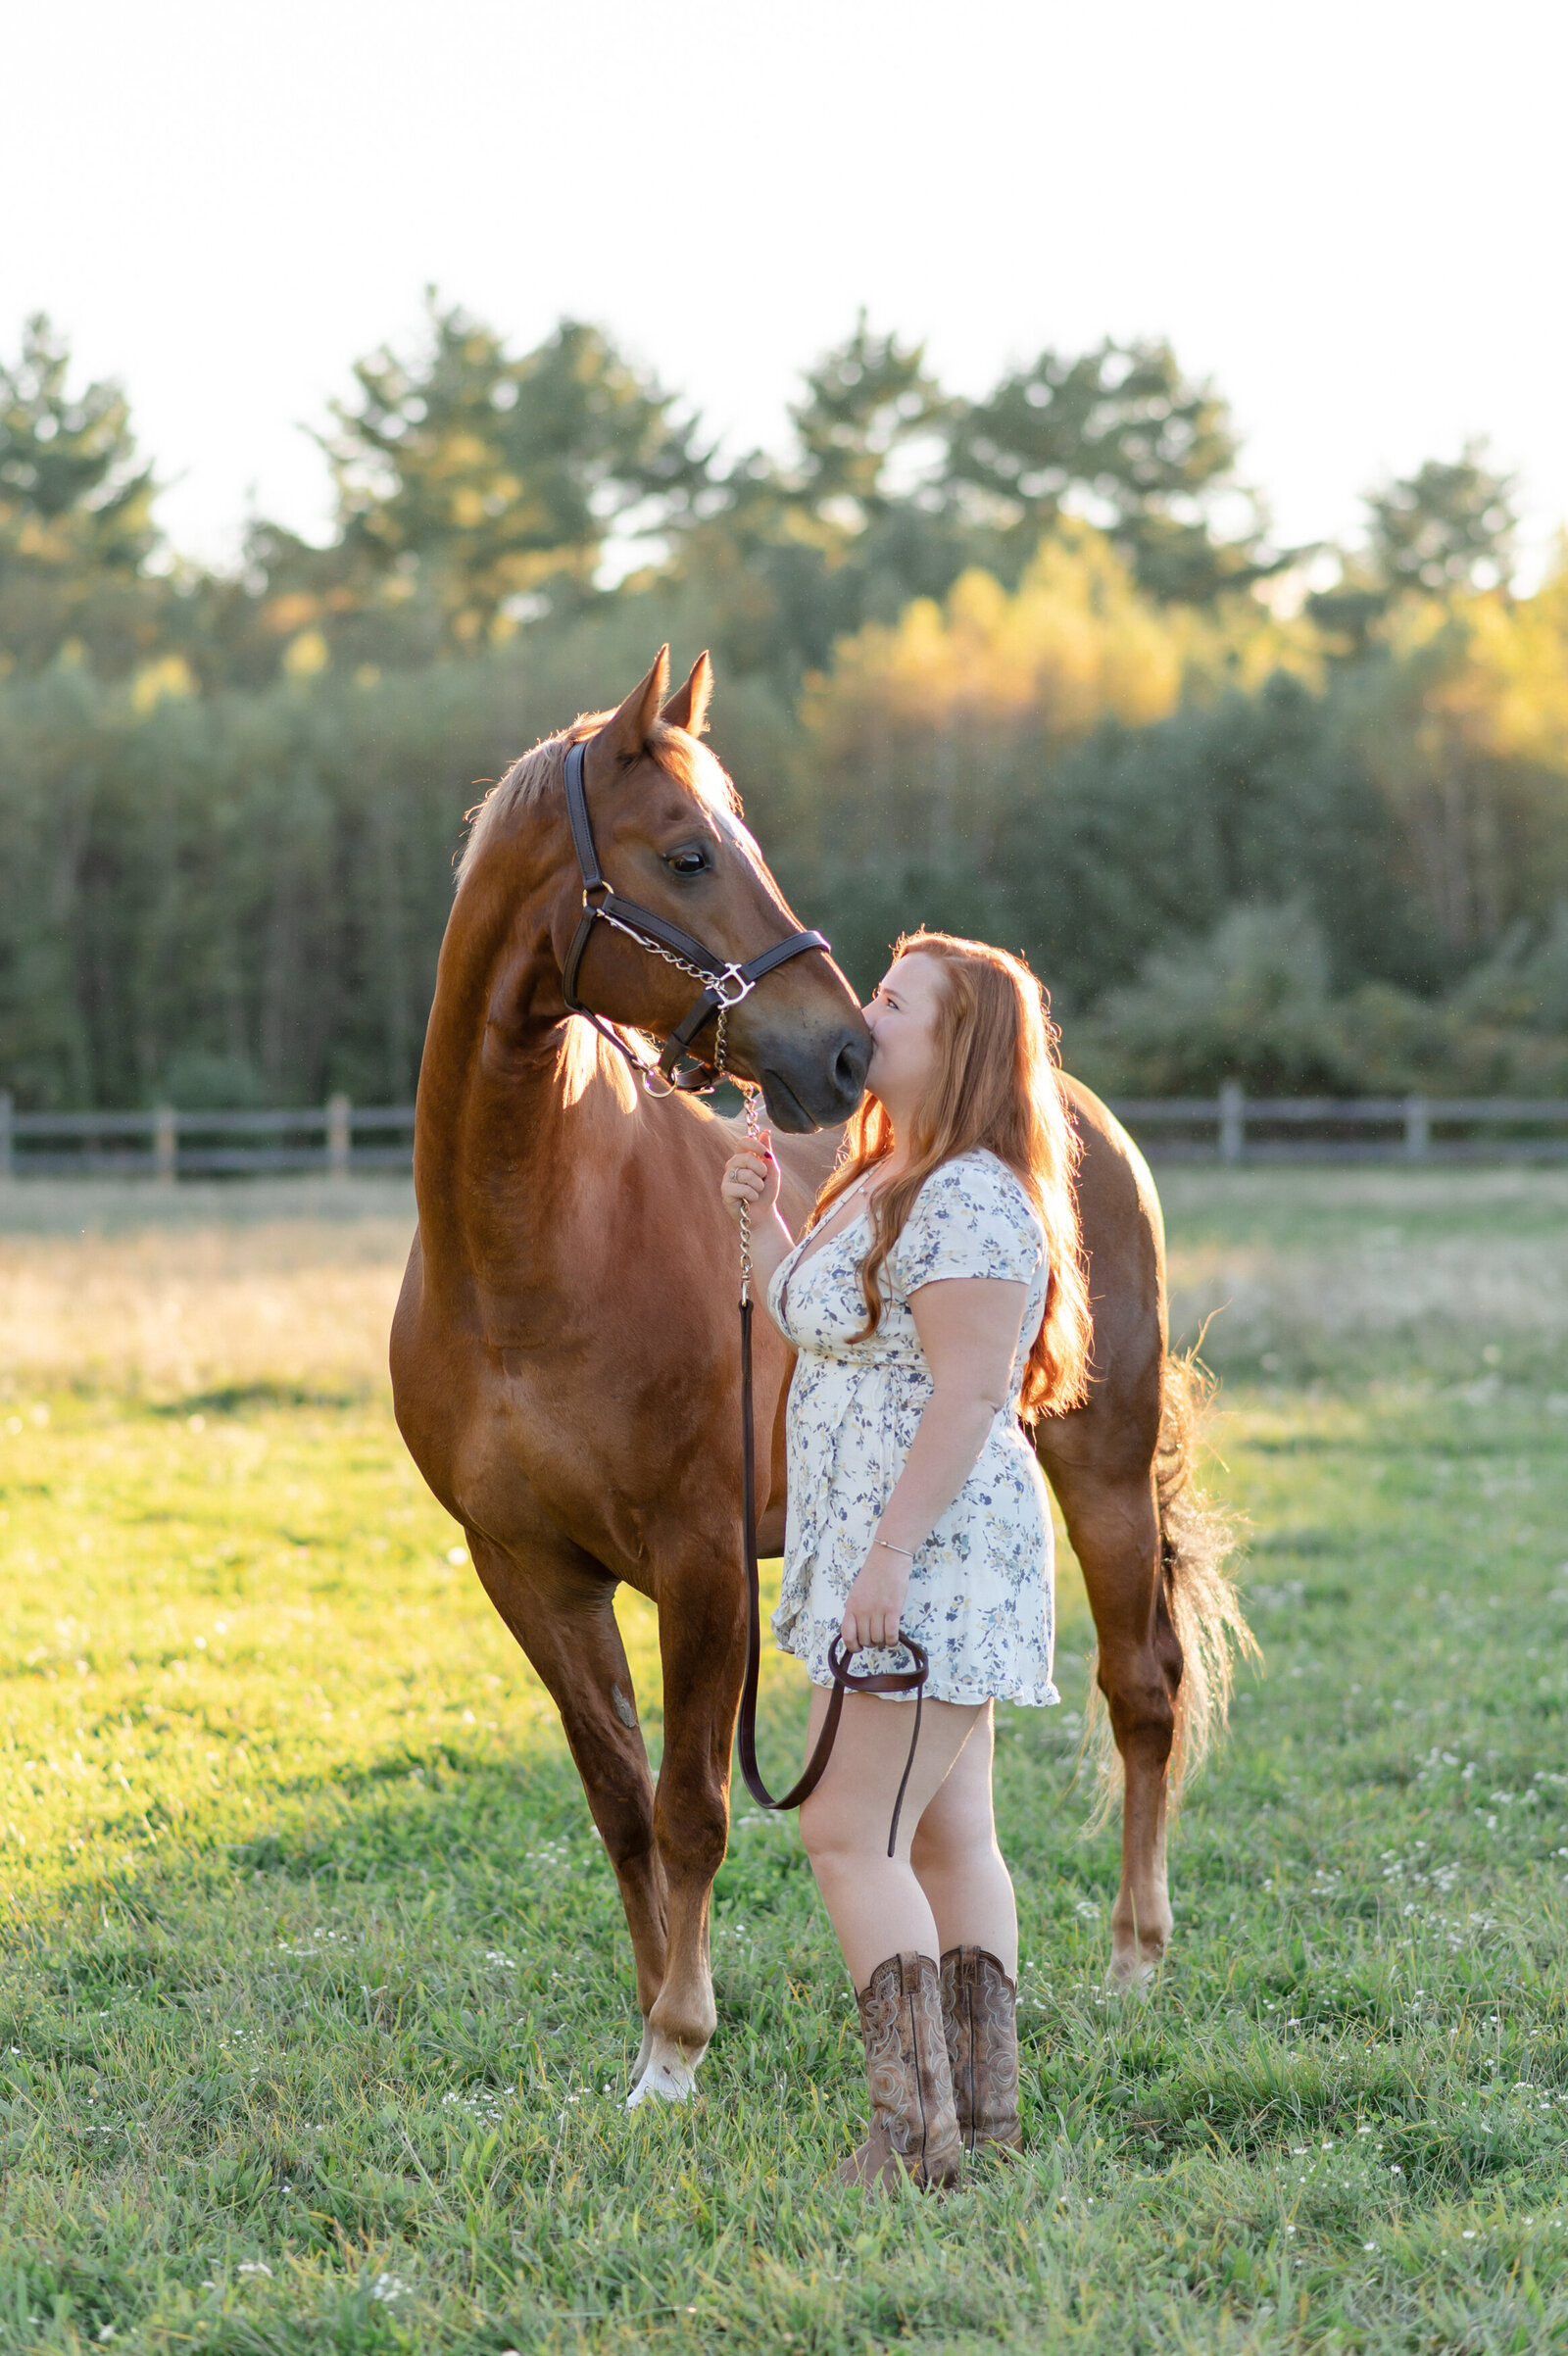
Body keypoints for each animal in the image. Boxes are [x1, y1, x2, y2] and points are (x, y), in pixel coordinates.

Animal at [390, 655, 1243, 2110]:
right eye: (685, 852)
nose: (840, 1054)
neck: (529, 1250)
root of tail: (1072, 1109)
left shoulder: (699, 1562)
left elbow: (691, 1806)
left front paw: (676, 2044)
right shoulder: (528, 1570)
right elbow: (619, 1803)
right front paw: (658, 2015)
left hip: (1102, 1464)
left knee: (1141, 1689)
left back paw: (1134, 1961)